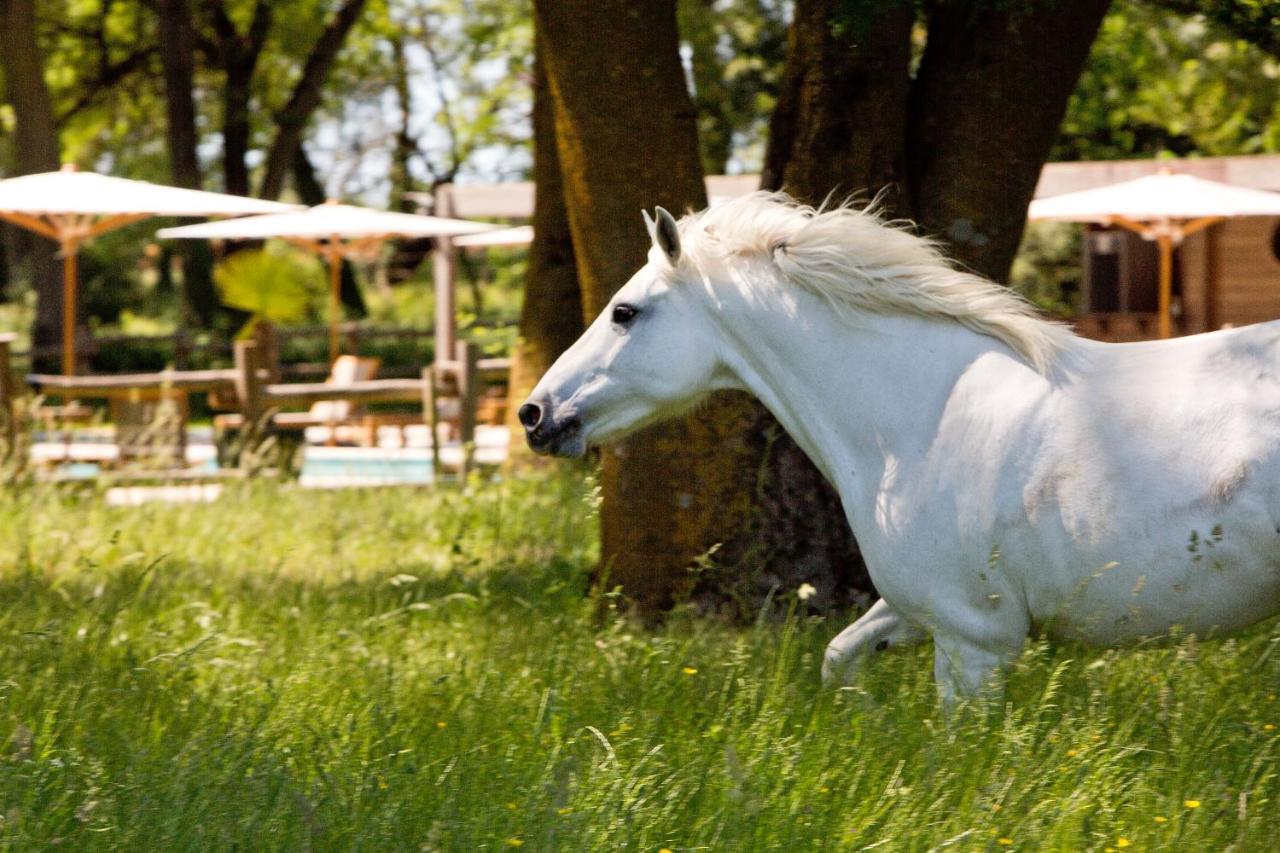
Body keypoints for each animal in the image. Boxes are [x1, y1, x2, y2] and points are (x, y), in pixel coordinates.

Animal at [514, 194, 1280, 701]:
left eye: (625, 312)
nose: (535, 412)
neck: (923, 419)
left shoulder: (975, 641)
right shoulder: (915, 609)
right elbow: (838, 657)